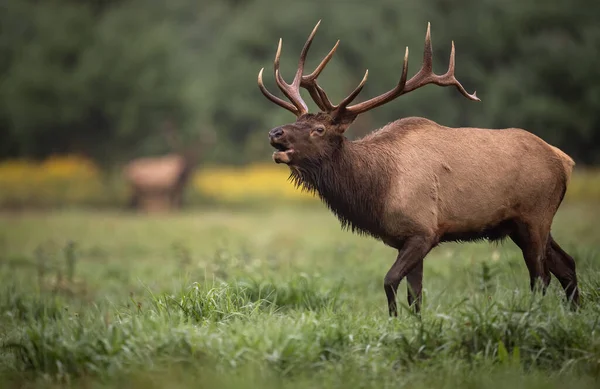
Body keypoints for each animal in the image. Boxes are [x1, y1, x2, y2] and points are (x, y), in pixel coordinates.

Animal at [255, 21, 580, 316]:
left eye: (319, 129)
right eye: (297, 121)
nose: (274, 132)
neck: (377, 189)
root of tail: (565, 161)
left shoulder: (424, 231)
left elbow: (389, 281)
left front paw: (393, 320)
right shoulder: (406, 239)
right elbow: (416, 296)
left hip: (535, 215)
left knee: (541, 275)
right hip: (521, 224)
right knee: (567, 264)